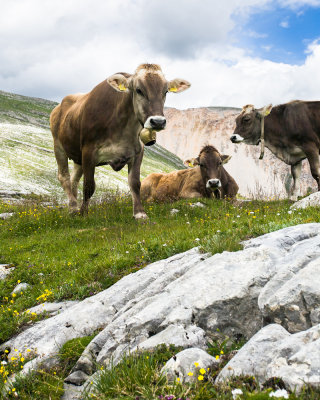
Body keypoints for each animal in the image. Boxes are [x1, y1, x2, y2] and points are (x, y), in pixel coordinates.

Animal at [50, 64, 190, 219]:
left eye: (165, 91)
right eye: (139, 90)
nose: (158, 122)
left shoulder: (138, 151)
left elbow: (135, 183)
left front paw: (140, 214)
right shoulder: (88, 151)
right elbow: (89, 185)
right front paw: (84, 213)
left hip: (78, 158)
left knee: (74, 179)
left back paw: (72, 207)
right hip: (59, 146)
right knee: (64, 177)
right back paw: (74, 207)